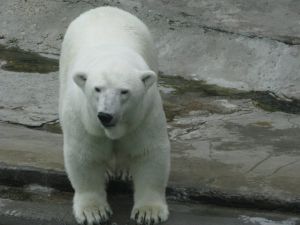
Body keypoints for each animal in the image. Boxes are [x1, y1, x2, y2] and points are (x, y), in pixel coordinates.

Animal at [59, 6, 171, 224]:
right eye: (97, 89)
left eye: (124, 91)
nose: (106, 115)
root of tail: (106, 8)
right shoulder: (84, 120)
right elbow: (84, 156)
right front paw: (93, 212)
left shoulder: (143, 114)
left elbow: (149, 152)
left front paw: (149, 212)